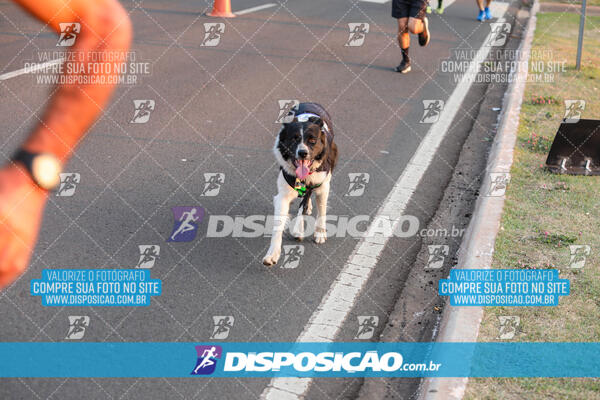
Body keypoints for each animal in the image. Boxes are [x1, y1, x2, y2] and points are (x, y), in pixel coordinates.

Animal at [262, 103, 338, 266]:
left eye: (312, 140)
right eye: (294, 139)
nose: (303, 153)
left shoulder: (323, 185)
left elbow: (322, 210)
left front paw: (320, 233)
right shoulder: (283, 195)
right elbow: (278, 226)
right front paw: (273, 254)